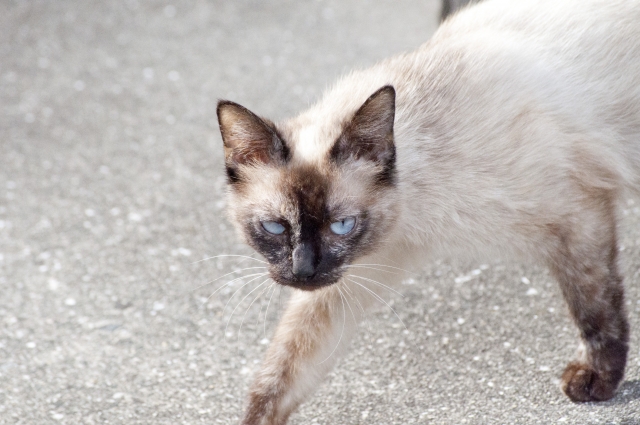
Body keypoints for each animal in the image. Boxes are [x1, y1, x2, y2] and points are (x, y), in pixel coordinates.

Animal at [216, 0, 640, 422]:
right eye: (274, 227)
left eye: (342, 224)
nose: (304, 271)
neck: (416, 212)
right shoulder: (354, 274)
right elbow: (283, 369)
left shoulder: (577, 217)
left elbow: (594, 309)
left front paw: (597, 381)